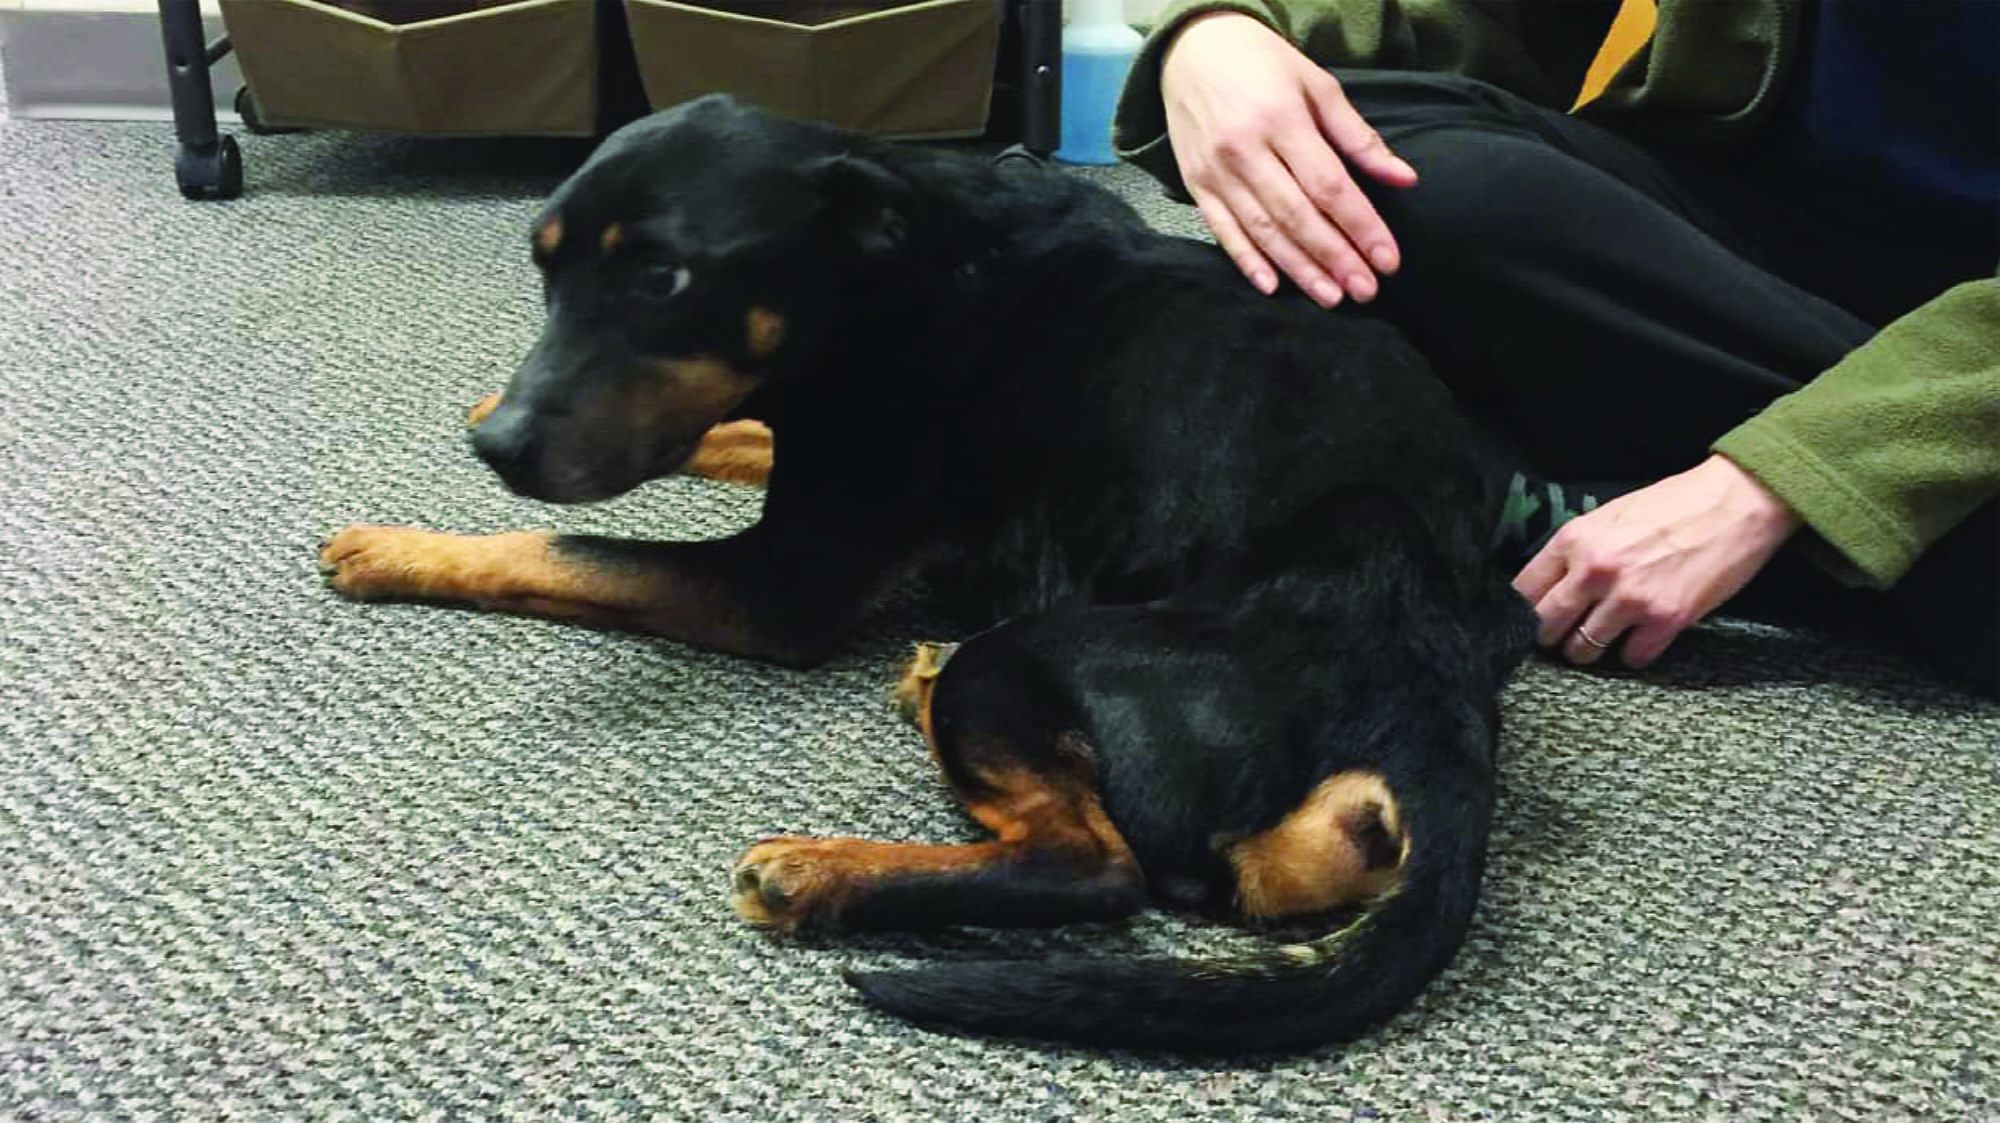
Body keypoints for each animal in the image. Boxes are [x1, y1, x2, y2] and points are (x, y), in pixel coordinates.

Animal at [320, 95, 1528, 1047]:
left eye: (664, 277)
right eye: (543, 267)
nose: (502, 447)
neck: (885, 275)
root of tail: (1434, 689)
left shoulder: (782, 582)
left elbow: (562, 549)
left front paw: (392, 548)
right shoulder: (809, 443)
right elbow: (732, 432)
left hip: (1032, 661)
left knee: (1091, 867)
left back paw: (823, 871)